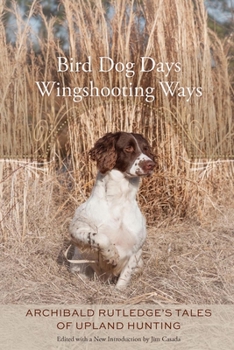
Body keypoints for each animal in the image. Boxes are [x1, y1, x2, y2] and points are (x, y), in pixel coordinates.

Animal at [68, 131, 154, 288]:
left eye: (146, 148)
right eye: (128, 148)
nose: (151, 164)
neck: (118, 203)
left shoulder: (136, 249)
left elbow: (124, 278)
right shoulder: (75, 229)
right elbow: (100, 237)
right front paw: (111, 254)